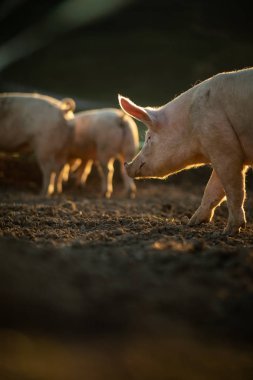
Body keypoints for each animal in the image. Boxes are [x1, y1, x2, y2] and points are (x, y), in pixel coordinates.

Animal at [118, 68, 253, 235]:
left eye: (149, 137)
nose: (126, 165)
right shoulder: (225, 150)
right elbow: (213, 188)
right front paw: (192, 223)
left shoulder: (223, 147)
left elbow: (233, 189)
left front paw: (228, 231)